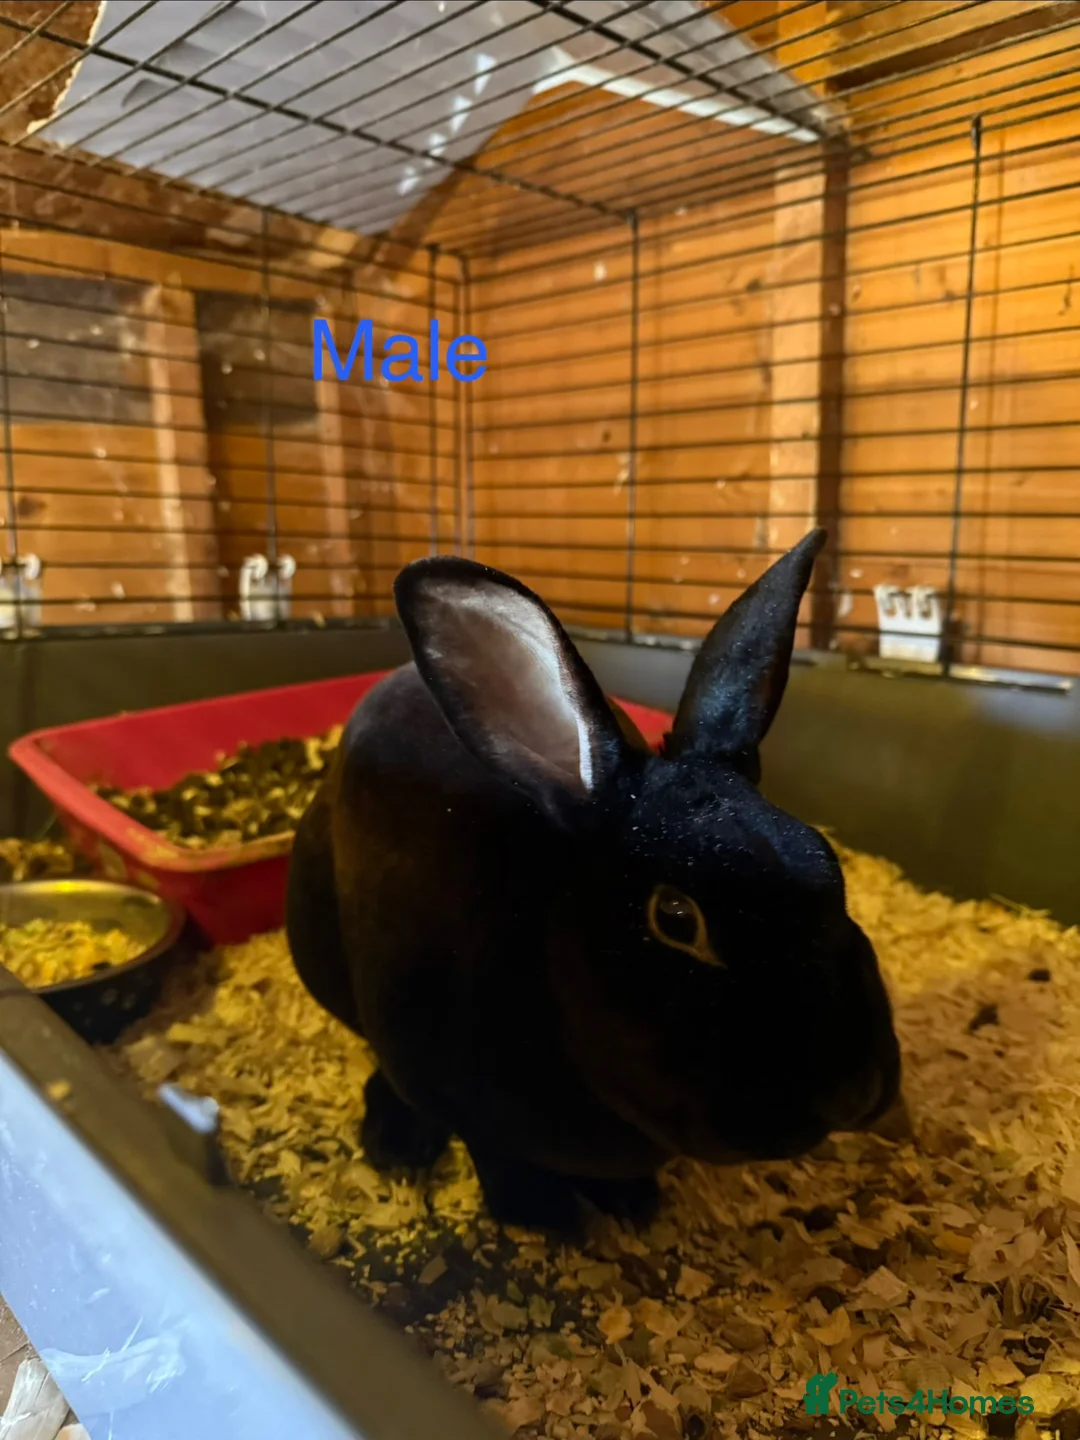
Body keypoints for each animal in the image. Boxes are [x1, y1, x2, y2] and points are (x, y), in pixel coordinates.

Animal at [286, 528, 902, 1230]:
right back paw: (395, 1141)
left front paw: (632, 1204)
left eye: (827, 859)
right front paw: (541, 1216)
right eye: (675, 918)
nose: (857, 1091)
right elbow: (493, 1153)